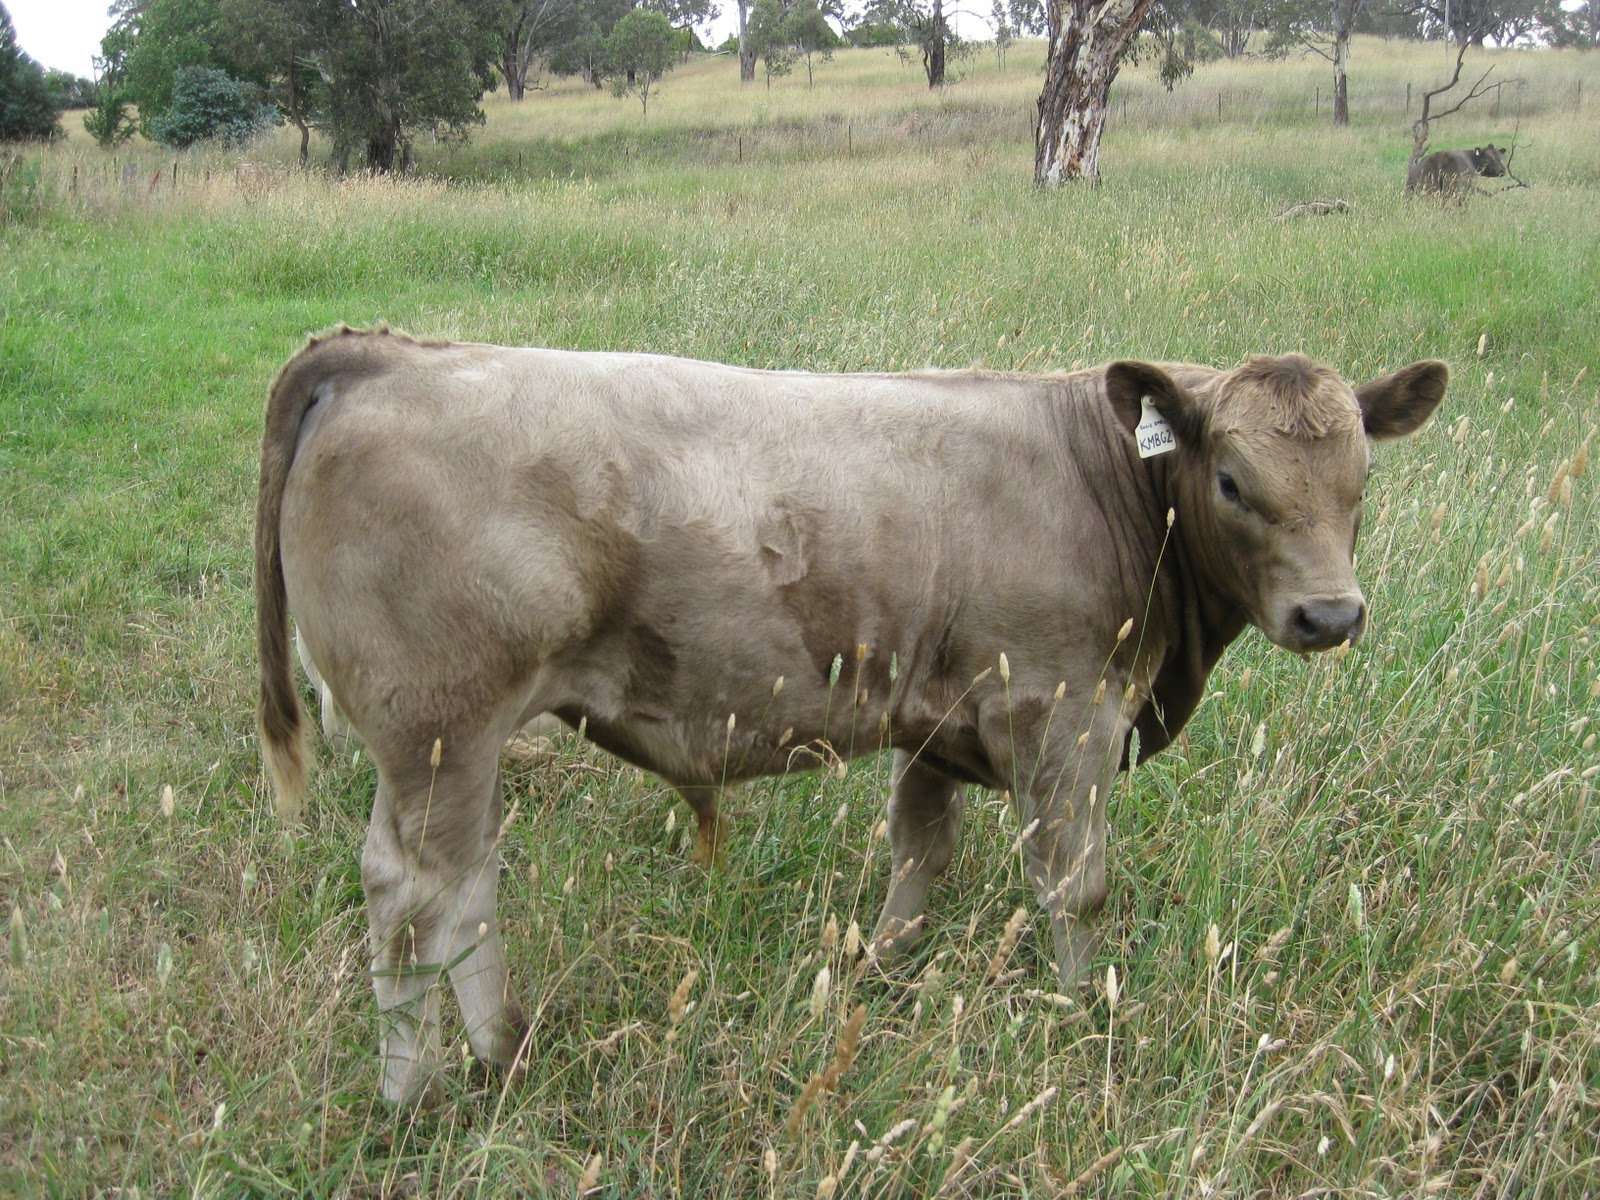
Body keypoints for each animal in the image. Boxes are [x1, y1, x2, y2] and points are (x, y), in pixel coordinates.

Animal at [256, 328, 1447, 1103]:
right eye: (1235, 482)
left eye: (1363, 480)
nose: (1330, 614)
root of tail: (391, 353)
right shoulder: (1064, 714)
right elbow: (1076, 888)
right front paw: (1083, 1021)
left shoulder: (939, 723)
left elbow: (918, 861)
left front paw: (883, 983)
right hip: (439, 730)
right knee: (418, 895)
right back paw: (430, 1088)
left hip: (448, 747)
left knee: (460, 886)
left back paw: (492, 1055)